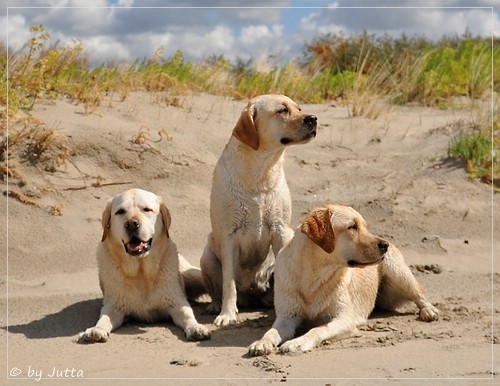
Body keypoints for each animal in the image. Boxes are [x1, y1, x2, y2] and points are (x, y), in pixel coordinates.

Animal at [78, 188, 211, 342]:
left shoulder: (176, 302)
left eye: (147, 209)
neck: (141, 271)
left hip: (195, 276)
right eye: (120, 211)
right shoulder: (114, 306)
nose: (131, 223)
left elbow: (187, 314)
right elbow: (104, 318)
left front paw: (196, 327)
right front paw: (97, 329)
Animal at [199, 93, 316, 326]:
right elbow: (228, 283)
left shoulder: (280, 230)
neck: (260, 172)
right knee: (217, 290)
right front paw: (227, 314)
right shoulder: (228, 236)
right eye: (282, 110)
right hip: (206, 255)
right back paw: (216, 305)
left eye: (299, 108)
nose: (314, 119)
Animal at [249, 205, 438, 356]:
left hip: (398, 271)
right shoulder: (287, 316)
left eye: (365, 227)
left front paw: (297, 343)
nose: (385, 245)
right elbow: (272, 331)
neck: (314, 274)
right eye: (352, 227)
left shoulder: (345, 320)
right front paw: (262, 342)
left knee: (419, 293)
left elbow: (318, 329)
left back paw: (429, 311)